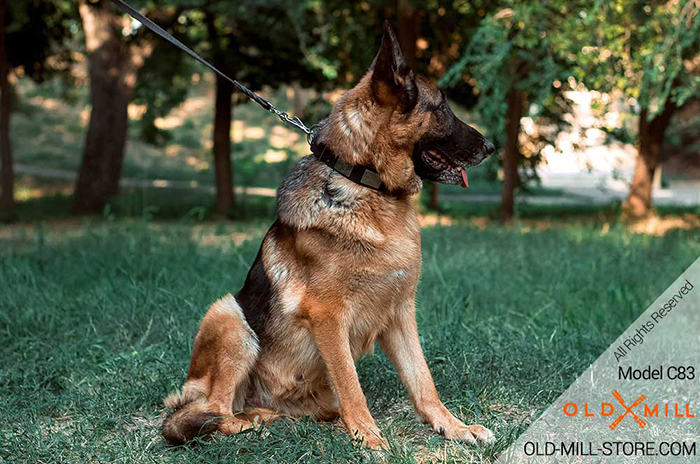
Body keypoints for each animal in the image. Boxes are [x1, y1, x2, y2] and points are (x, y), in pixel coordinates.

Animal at [162, 22, 494, 450]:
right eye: (441, 108)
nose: (491, 146)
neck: (367, 183)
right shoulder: (328, 316)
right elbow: (351, 384)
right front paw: (368, 437)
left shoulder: (401, 313)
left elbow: (423, 381)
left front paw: (453, 427)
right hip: (229, 315)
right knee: (213, 412)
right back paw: (251, 424)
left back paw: (271, 417)